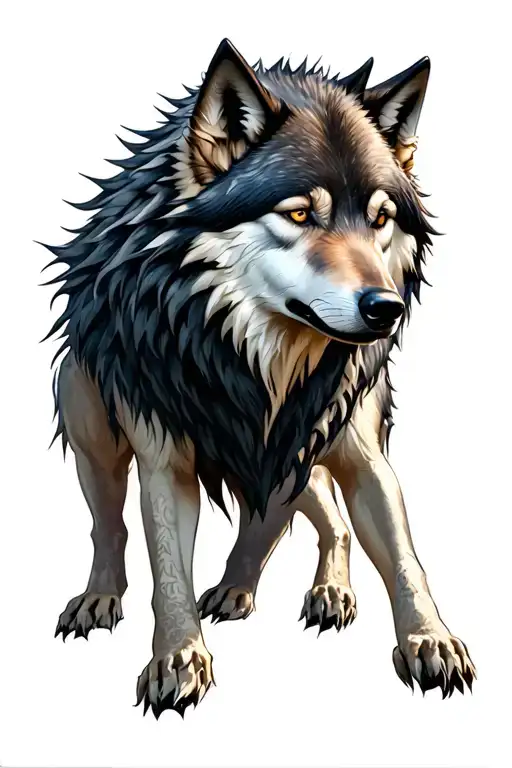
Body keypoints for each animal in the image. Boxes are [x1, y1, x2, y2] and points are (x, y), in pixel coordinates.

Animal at [43, 38, 475, 719]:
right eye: (298, 212)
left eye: (380, 218)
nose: (385, 308)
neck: (260, 362)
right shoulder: (165, 459)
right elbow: (168, 567)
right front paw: (178, 658)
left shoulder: (348, 446)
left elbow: (403, 556)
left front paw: (430, 640)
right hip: (93, 430)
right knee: (108, 525)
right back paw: (103, 597)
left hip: (302, 452)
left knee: (308, 518)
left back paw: (281, 589)